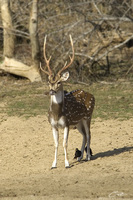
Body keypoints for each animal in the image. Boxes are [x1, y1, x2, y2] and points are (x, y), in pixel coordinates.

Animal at [40, 35, 94, 168]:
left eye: (59, 82)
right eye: (49, 82)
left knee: (89, 134)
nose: (51, 91)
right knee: (84, 135)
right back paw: (80, 157)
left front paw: (67, 163)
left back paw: (88, 157)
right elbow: (56, 144)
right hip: (78, 122)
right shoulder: (53, 125)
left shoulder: (66, 123)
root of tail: (92, 95)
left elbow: (65, 143)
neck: (57, 114)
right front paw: (53, 164)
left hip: (88, 116)